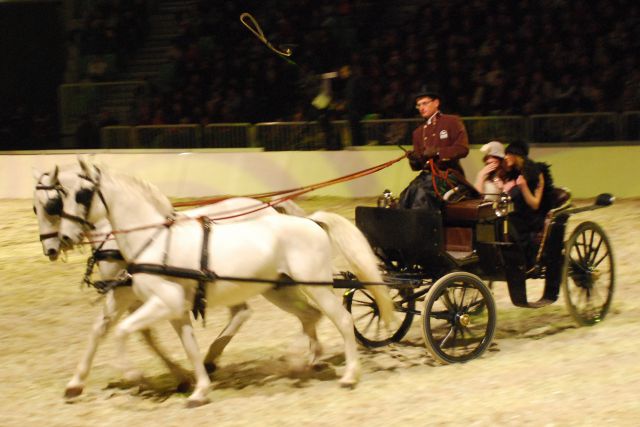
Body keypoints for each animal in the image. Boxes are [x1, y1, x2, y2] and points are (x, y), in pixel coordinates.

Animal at [55, 161, 396, 408]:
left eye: (82, 195)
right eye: (60, 198)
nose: (64, 238)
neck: (154, 240)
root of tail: (311, 221)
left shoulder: (162, 302)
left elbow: (123, 331)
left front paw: (132, 373)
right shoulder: (176, 310)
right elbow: (190, 348)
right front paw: (199, 391)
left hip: (316, 286)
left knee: (342, 320)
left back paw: (348, 375)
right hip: (280, 290)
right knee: (310, 317)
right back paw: (303, 361)